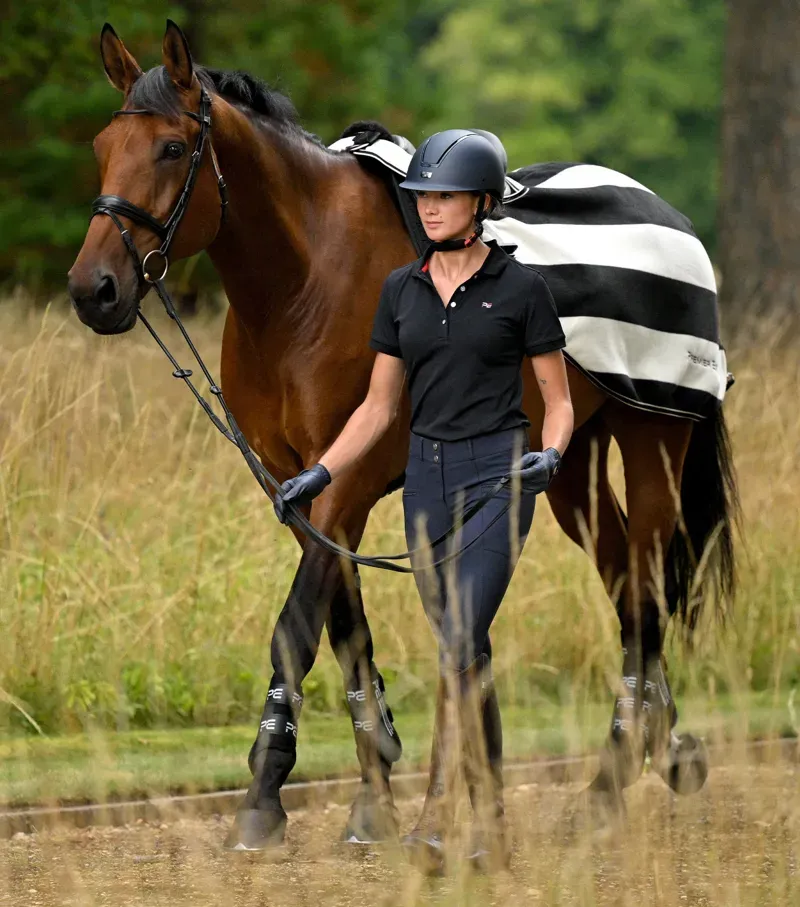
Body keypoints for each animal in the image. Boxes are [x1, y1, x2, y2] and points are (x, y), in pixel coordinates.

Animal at [68, 21, 737, 850]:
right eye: (103, 145)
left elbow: (297, 626)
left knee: (644, 588)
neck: (305, 280)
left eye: (168, 148)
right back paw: (657, 744)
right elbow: (345, 629)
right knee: (623, 580)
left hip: (652, 439)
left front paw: (264, 792)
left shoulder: (347, 479)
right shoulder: (300, 485)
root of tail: (673, 221)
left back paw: (613, 781)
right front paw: (374, 793)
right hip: (571, 460)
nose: (93, 290)